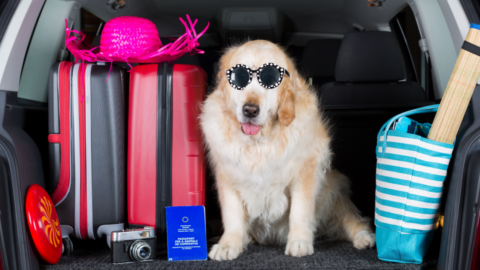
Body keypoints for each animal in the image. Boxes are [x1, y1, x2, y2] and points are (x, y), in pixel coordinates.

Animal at [199, 39, 376, 260]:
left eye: (270, 79)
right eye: (239, 77)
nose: (250, 110)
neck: (259, 141)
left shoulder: (305, 173)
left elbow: (300, 211)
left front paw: (299, 242)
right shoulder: (227, 176)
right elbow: (232, 215)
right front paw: (228, 244)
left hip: (333, 189)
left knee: (352, 219)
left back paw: (364, 237)